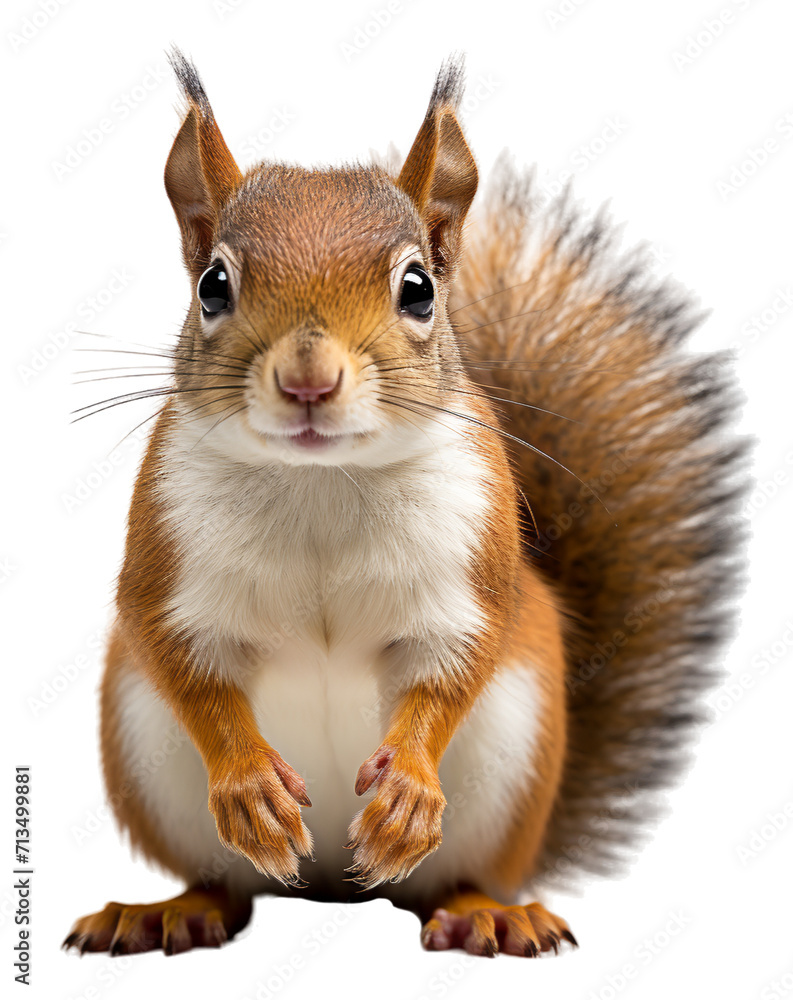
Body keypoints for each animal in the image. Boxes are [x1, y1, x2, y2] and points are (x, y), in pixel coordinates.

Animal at [63, 49, 747, 959]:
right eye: (212, 285)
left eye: (417, 289)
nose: (308, 381)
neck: (319, 484)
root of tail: (330, 888)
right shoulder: (166, 568)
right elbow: (181, 661)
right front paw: (248, 786)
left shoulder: (467, 582)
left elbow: (454, 665)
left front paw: (411, 793)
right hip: (146, 750)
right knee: (227, 885)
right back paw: (172, 908)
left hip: (511, 765)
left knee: (448, 883)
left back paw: (488, 911)